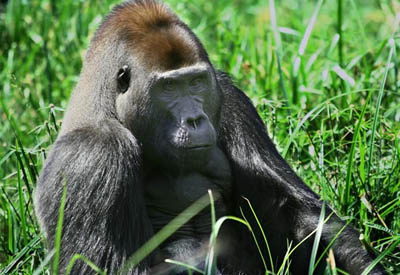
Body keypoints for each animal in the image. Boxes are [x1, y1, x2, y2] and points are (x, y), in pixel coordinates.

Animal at [33, 0, 384, 275]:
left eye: (196, 82)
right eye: (169, 87)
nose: (195, 119)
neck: (106, 104)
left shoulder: (230, 98)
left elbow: (298, 213)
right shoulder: (94, 155)